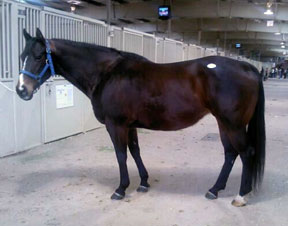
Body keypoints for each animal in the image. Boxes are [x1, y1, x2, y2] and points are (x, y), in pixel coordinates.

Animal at [16, 29, 266, 207]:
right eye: (21, 56)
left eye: (39, 56)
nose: (21, 90)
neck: (106, 73)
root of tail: (248, 67)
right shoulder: (130, 126)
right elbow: (135, 151)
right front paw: (144, 183)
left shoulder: (115, 125)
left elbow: (120, 155)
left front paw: (120, 189)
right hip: (223, 123)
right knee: (231, 153)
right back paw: (214, 190)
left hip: (233, 124)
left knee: (246, 153)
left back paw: (241, 196)